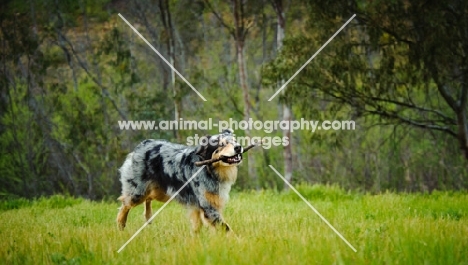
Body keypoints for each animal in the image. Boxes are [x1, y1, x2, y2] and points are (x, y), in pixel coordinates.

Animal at [116, 129, 245, 232]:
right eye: (222, 144)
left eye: (235, 141)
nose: (238, 147)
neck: (209, 169)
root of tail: (143, 143)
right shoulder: (208, 206)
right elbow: (226, 228)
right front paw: (238, 241)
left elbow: (197, 227)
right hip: (138, 192)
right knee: (125, 203)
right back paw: (121, 224)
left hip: (161, 193)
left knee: (149, 197)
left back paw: (148, 217)